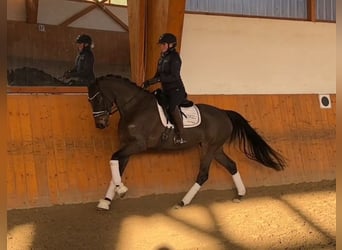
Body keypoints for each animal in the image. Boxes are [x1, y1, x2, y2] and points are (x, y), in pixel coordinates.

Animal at [87, 75, 284, 210]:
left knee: (203, 175)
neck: (135, 107)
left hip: (209, 149)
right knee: (232, 165)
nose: (100, 124)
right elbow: (116, 167)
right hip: (216, 149)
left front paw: (120, 190)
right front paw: (107, 200)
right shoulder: (127, 146)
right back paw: (240, 195)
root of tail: (224, 113)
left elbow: (113, 159)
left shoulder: (137, 145)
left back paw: (183, 202)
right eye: (89, 100)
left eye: (98, 98)